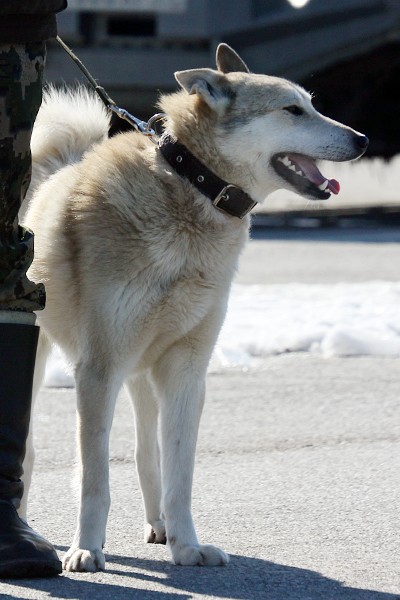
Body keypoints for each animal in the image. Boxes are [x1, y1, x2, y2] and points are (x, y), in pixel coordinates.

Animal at [22, 43, 368, 572]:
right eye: (292, 110)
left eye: (312, 105)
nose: (363, 139)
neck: (191, 188)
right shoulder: (98, 368)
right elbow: (94, 478)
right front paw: (86, 548)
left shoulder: (185, 369)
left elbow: (179, 474)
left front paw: (187, 545)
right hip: (49, 357)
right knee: (28, 451)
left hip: (142, 369)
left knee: (146, 452)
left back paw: (160, 526)